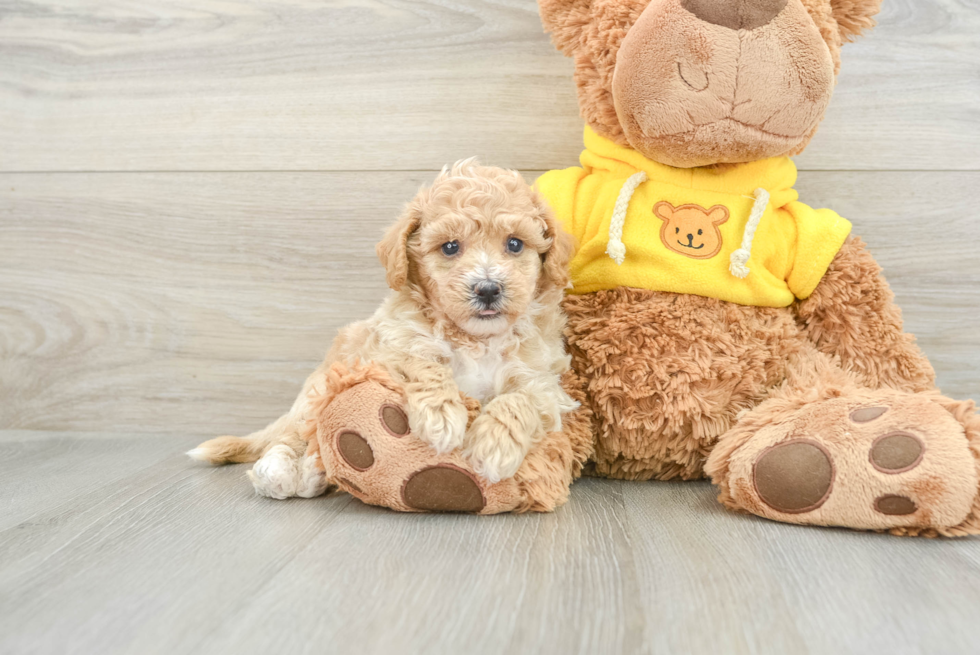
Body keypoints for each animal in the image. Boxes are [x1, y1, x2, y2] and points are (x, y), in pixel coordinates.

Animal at [188, 161, 580, 500]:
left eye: (515, 244)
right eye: (450, 247)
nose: (487, 289)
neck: (474, 338)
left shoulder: (545, 381)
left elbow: (520, 398)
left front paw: (494, 445)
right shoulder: (387, 350)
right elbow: (423, 362)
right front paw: (442, 415)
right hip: (316, 392)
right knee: (288, 437)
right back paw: (286, 473)